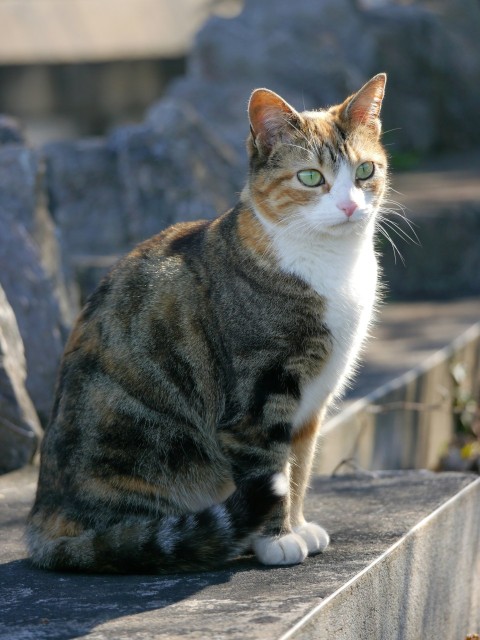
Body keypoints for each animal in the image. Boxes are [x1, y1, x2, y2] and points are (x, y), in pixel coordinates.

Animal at [26, 72, 388, 572]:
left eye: (365, 172)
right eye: (311, 177)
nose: (351, 207)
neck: (331, 265)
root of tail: (42, 523)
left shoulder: (311, 404)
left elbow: (298, 467)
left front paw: (298, 525)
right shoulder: (258, 395)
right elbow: (269, 466)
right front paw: (277, 539)